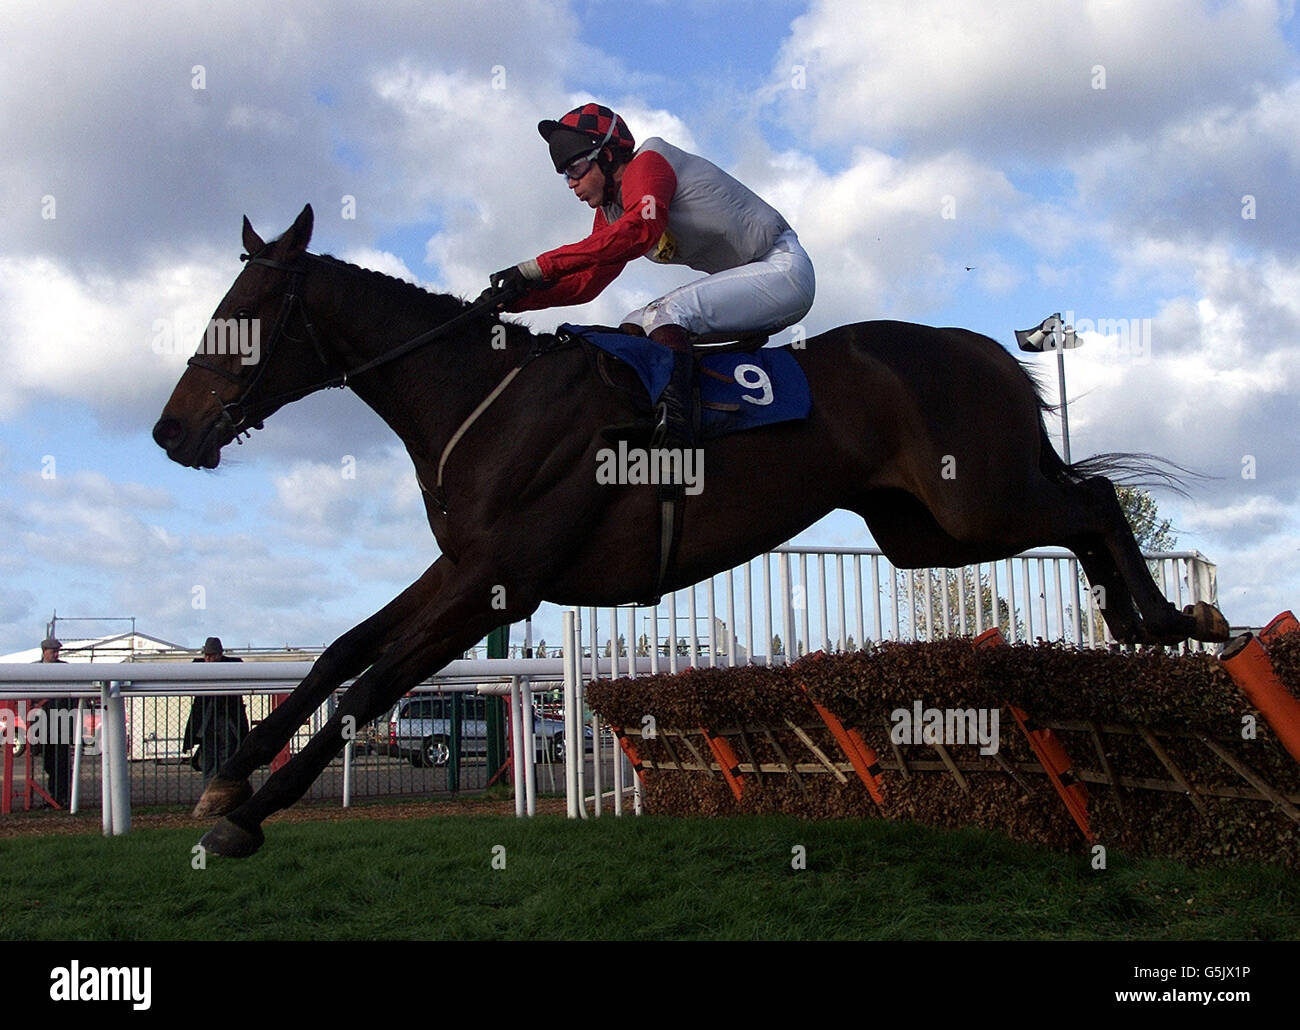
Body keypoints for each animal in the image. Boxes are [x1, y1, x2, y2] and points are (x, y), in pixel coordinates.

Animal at [152, 205, 1227, 858]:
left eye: (245, 311)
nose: (169, 432)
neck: (480, 397)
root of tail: (991, 354)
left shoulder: (502, 576)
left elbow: (375, 681)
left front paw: (248, 815)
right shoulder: (465, 567)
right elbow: (342, 652)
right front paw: (230, 782)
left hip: (976, 503)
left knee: (1094, 499)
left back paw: (1174, 620)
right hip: (925, 533)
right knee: (1084, 505)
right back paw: (1145, 623)